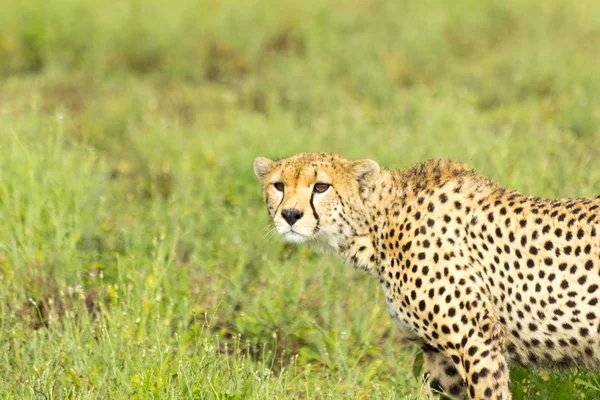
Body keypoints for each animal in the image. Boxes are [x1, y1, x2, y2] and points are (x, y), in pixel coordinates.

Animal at [253, 152, 600, 398]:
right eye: (279, 186)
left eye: (321, 186)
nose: (290, 215)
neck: (379, 225)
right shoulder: (440, 359)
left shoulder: (478, 339)